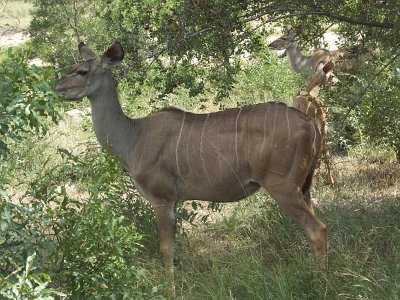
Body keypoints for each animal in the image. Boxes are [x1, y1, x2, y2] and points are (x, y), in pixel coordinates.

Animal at [54, 41, 326, 294]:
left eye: (82, 71)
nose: (57, 87)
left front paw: (170, 292)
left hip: (283, 187)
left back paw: (319, 281)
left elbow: (166, 249)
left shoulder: (161, 197)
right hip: (304, 187)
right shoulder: (174, 200)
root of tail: (310, 125)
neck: (133, 137)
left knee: (317, 229)